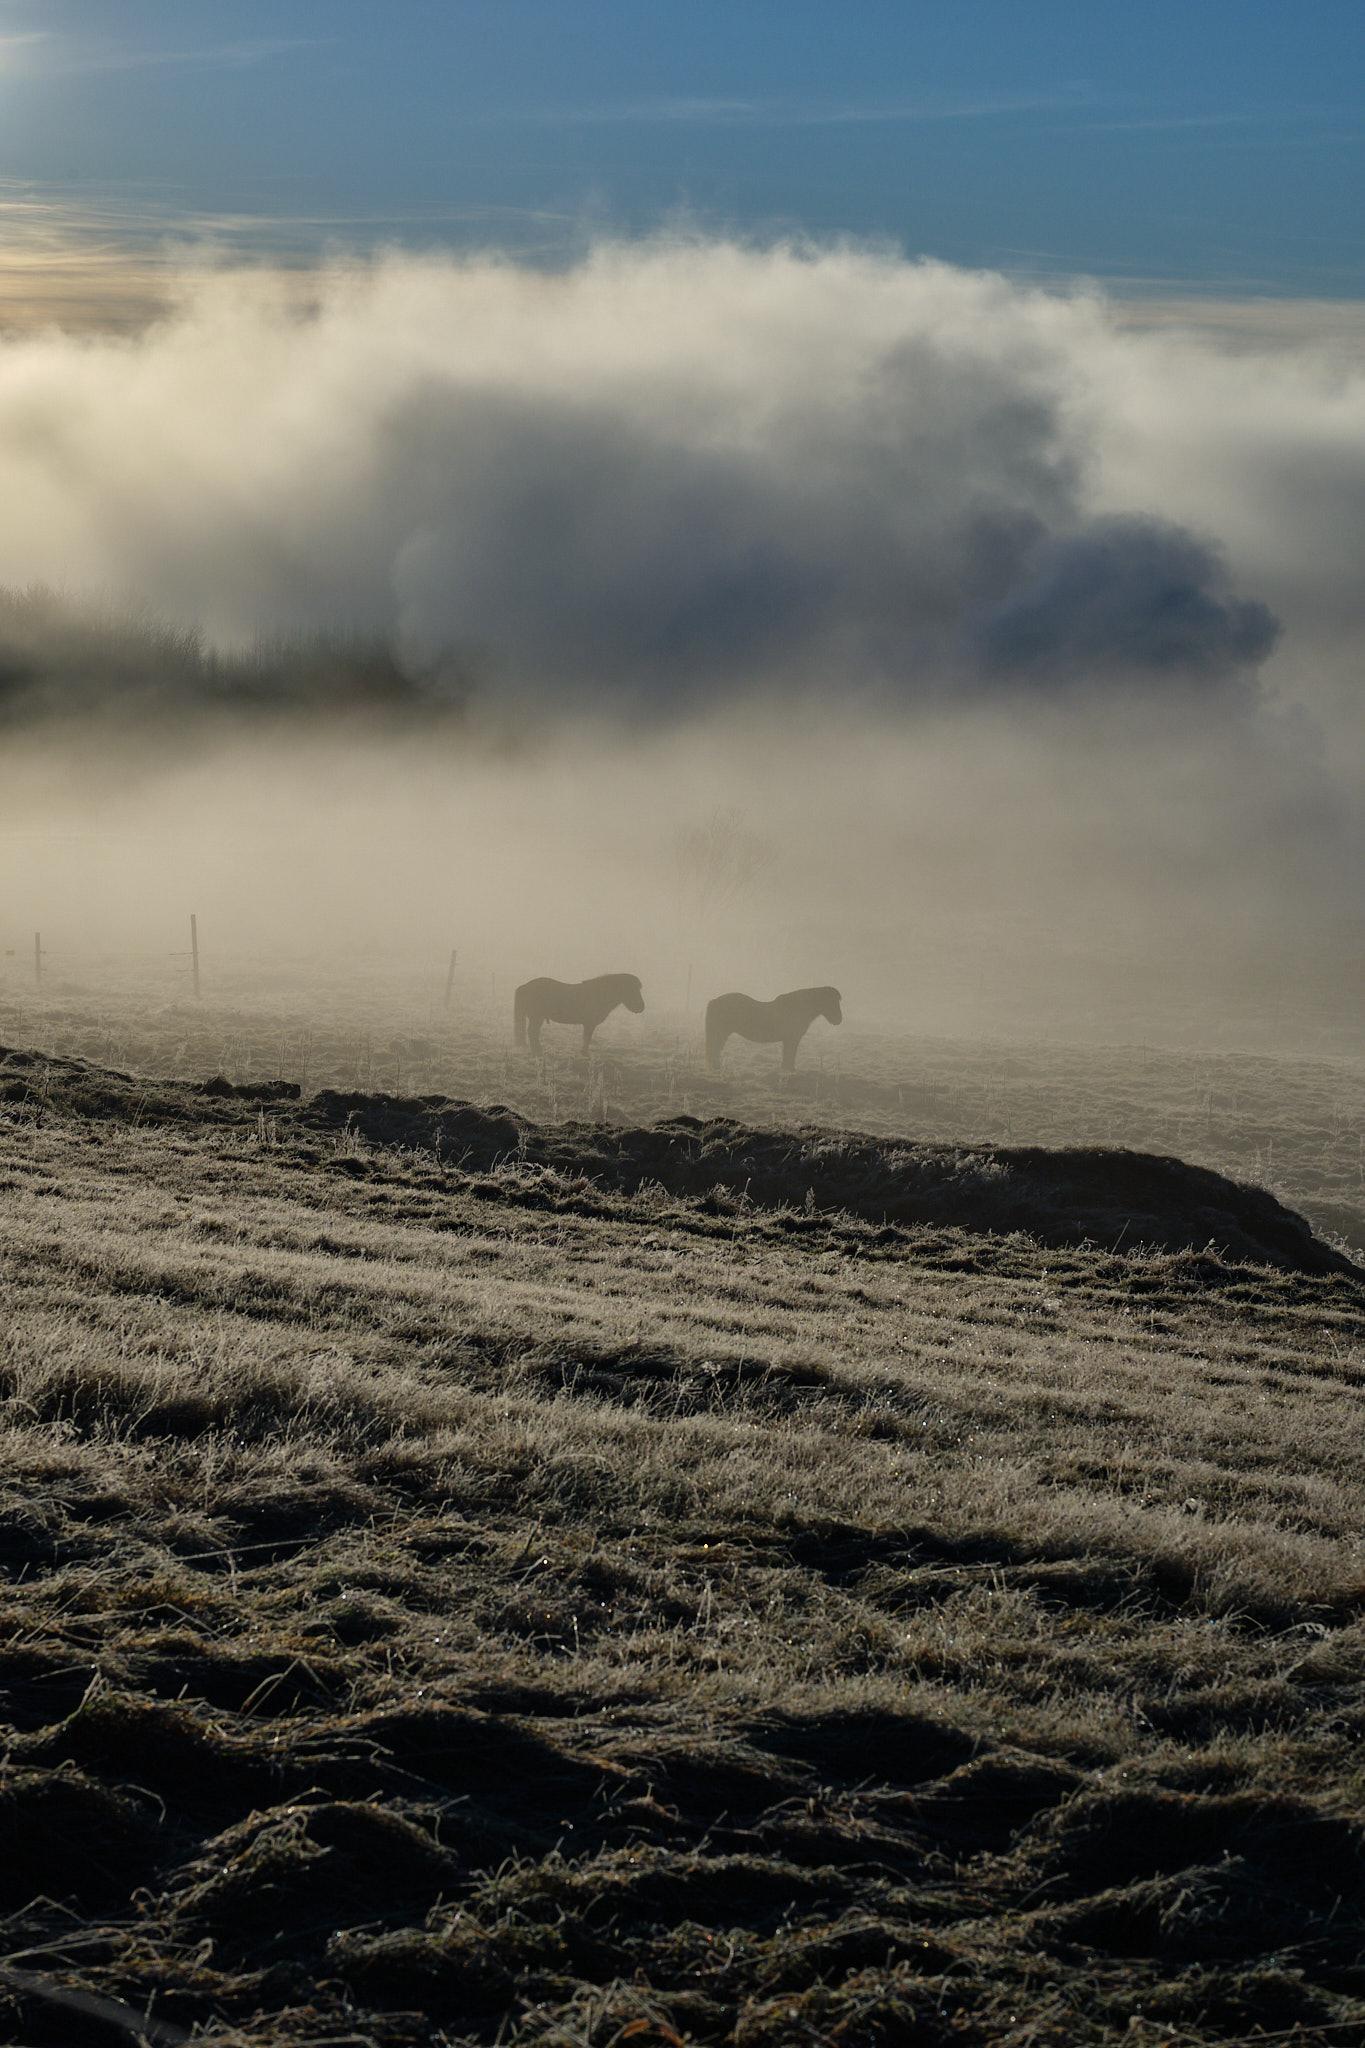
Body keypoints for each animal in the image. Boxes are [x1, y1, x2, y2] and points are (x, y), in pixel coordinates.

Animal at [513, 973, 645, 1054]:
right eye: (631, 989)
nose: (641, 1007)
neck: (599, 994)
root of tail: (524, 986)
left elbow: (586, 1038)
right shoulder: (589, 1024)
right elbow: (587, 1038)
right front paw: (584, 1053)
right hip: (536, 1018)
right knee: (532, 1032)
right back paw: (537, 1051)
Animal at [705, 986, 842, 1073]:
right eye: (832, 1002)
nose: (839, 1020)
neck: (798, 1008)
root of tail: (714, 1001)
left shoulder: (790, 1039)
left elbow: (788, 1054)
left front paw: (787, 1068)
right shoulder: (792, 1039)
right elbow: (790, 1053)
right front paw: (789, 1069)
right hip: (720, 1033)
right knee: (714, 1049)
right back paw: (716, 1067)